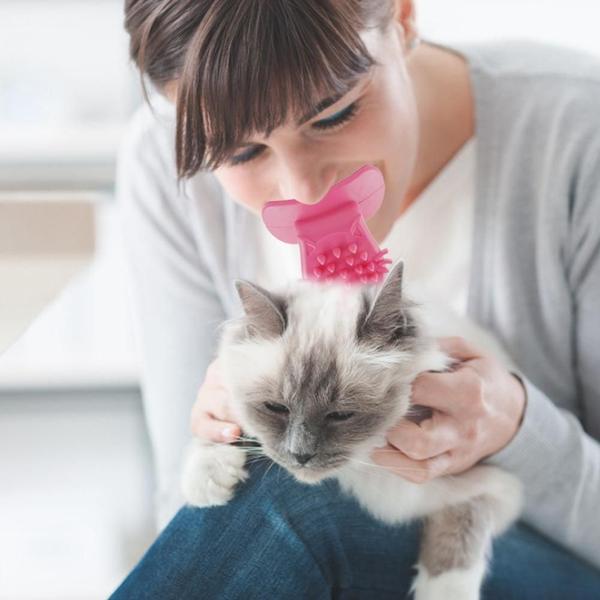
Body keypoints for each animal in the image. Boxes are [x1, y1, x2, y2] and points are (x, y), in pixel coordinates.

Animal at [180, 258, 524, 600]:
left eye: (341, 415)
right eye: (276, 408)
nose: (300, 455)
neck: (364, 465)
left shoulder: (488, 487)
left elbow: (457, 548)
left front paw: (444, 593)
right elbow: (222, 427)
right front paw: (207, 479)